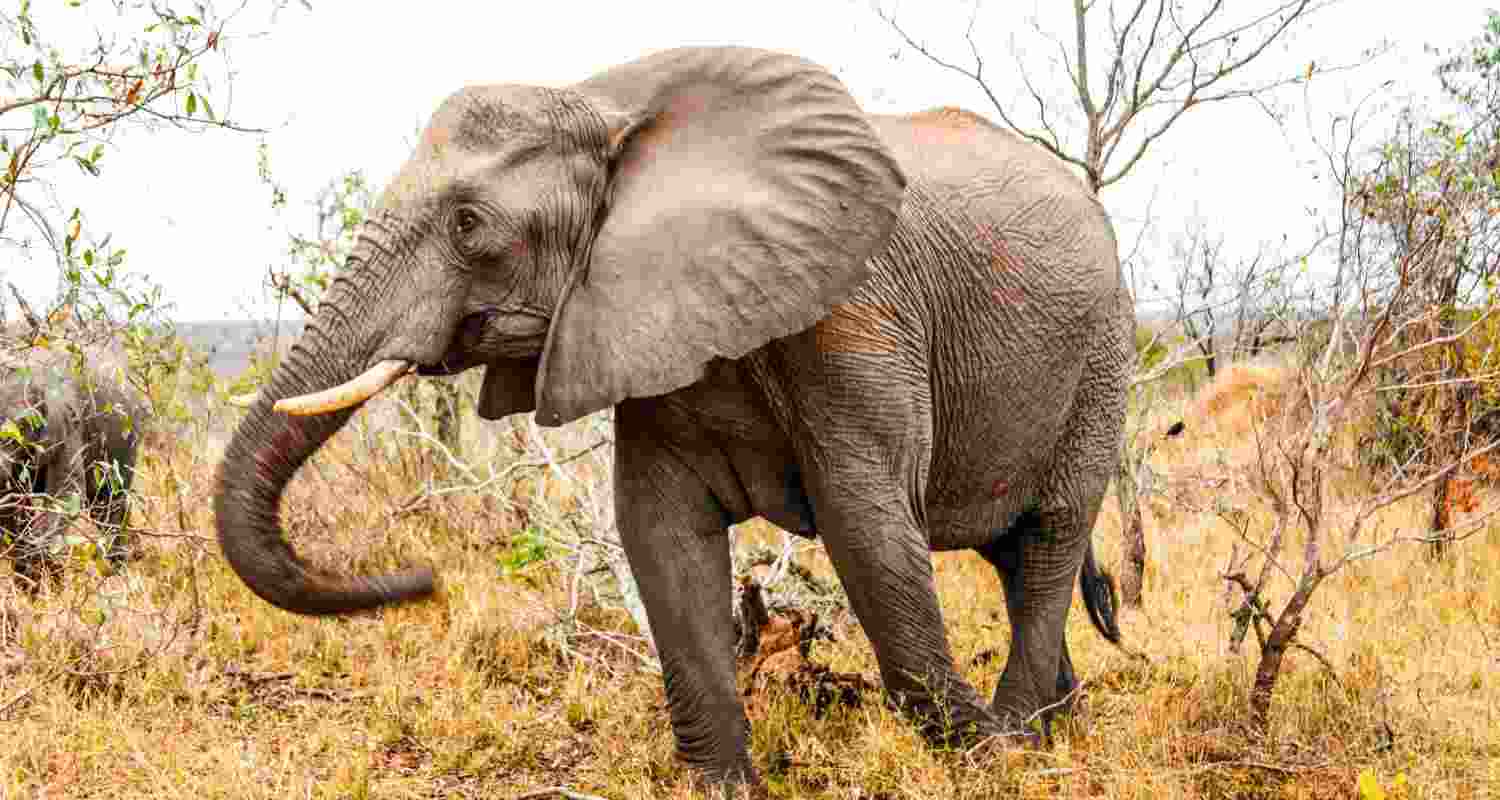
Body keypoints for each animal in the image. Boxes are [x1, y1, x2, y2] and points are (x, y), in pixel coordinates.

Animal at [213, 47, 1130, 792]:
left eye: (470, 226)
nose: (425, 579)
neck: (603, 104)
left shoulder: (858, 313)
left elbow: (866, 526)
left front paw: (977, 757)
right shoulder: (643, 317)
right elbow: (661, 531)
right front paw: (725, 786)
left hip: (1102, 356)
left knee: (1049, 537)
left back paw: (1019, 741)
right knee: (1017, 555)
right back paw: (1057, 729)